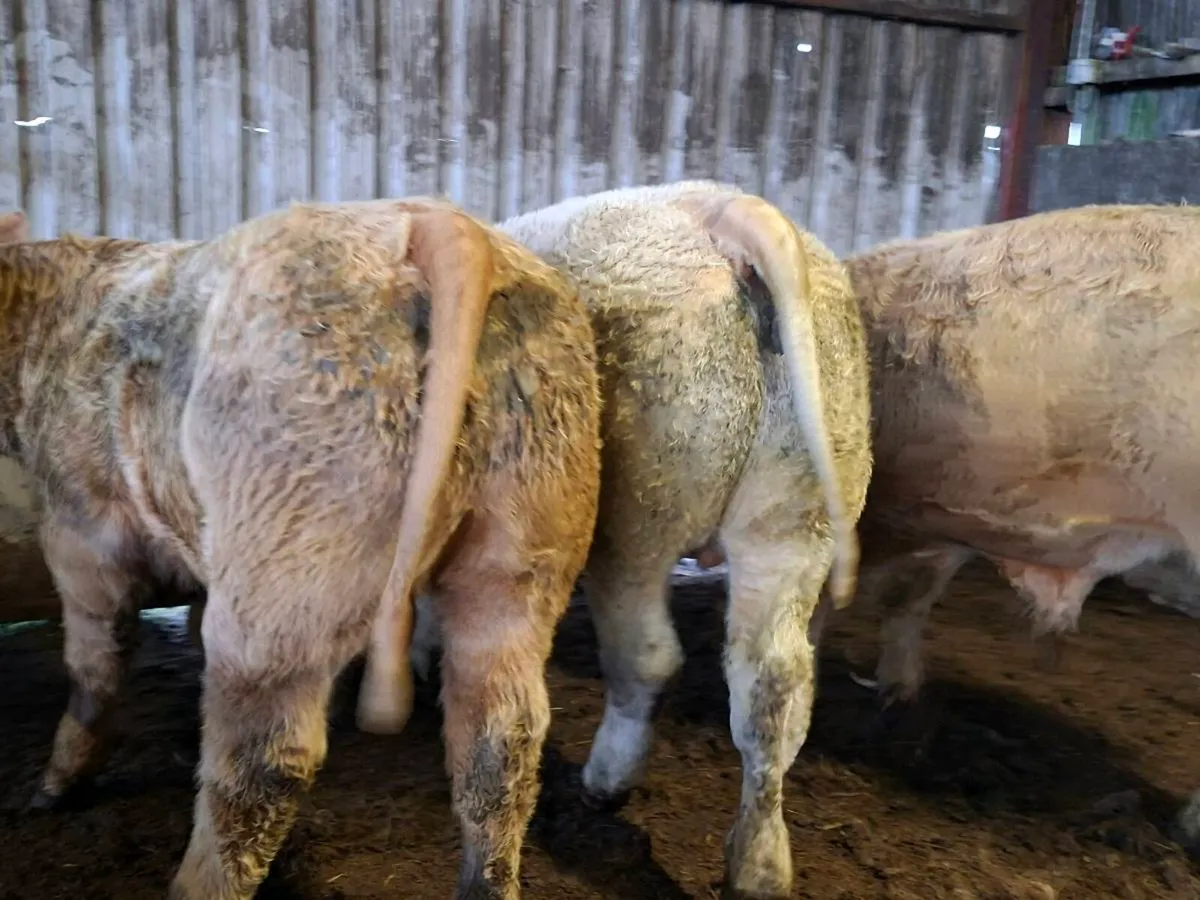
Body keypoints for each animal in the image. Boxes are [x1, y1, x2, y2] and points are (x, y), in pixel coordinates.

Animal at [3, 198, 602, 900]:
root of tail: (439, 222)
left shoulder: (78, 523)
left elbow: (95, 662)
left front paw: (50, 791)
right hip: (525, 543)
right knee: (503, 738)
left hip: (285, 568)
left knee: (262, 762)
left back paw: (189, 883)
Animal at [411, 180, 873, 898]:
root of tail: (731, 216)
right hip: (801, 505)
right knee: (775, 685)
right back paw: (758, 867)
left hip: (641, 506)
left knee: (650, 654)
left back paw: (606, 782)